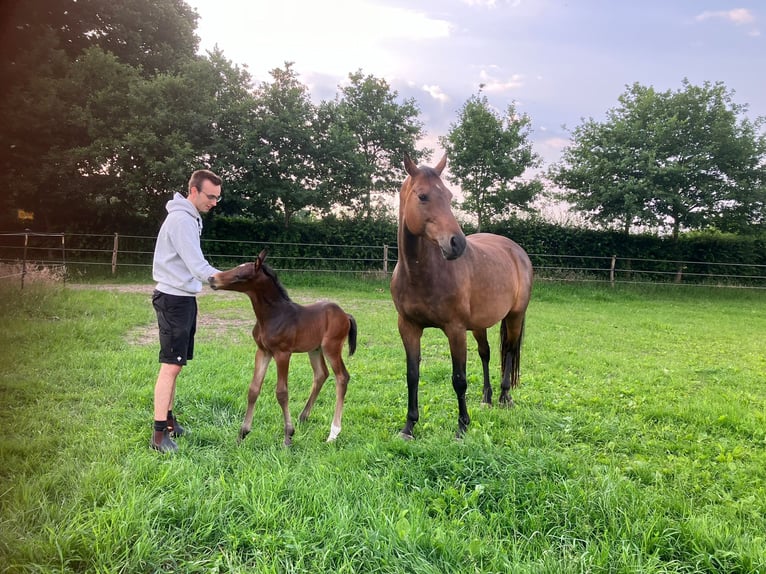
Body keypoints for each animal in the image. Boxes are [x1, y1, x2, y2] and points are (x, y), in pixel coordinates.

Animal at [207, 250, 356, 448]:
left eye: (240, 276)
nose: (212, 278)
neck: (273, 315)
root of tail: (345, 315)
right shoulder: (263, 352)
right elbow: (253, 389)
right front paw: (242, 435)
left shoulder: (282, 353)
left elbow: (282, 393)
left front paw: (288, 437)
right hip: (315, 349)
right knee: (321, 374)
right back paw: (303, 416)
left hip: (331, 347)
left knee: (342, 377)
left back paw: (333, 433)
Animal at [392, 155, 532, 438]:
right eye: (422, 196)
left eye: (449, 195)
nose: (457, 243)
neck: (419, 273)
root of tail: (517, 251)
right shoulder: (408, 327)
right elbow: (412, 375)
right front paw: (409, 426)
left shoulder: (455, 330)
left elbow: (459, 379)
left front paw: (462, 427)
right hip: (479, 324)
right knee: (486, 353)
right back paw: (487, 398)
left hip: (514, 316)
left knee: (510, 351)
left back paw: (505, 397)